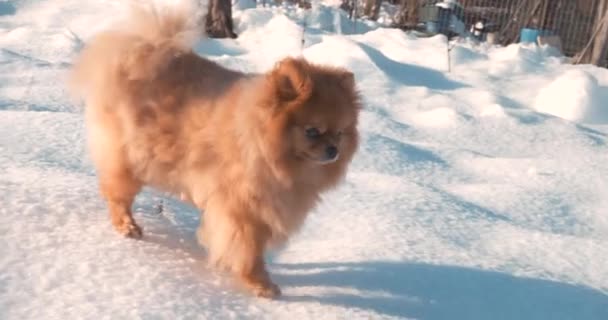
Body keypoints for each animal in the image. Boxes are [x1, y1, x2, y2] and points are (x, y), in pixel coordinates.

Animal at [69, 1, 358, 298]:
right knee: (117, 195)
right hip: (130, 157)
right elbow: (248, 250)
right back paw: (127, 226)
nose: (333, 150)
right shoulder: (243, 210)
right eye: (312, 131)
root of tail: (140, 49)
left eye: (340, 133)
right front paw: (260, 284)